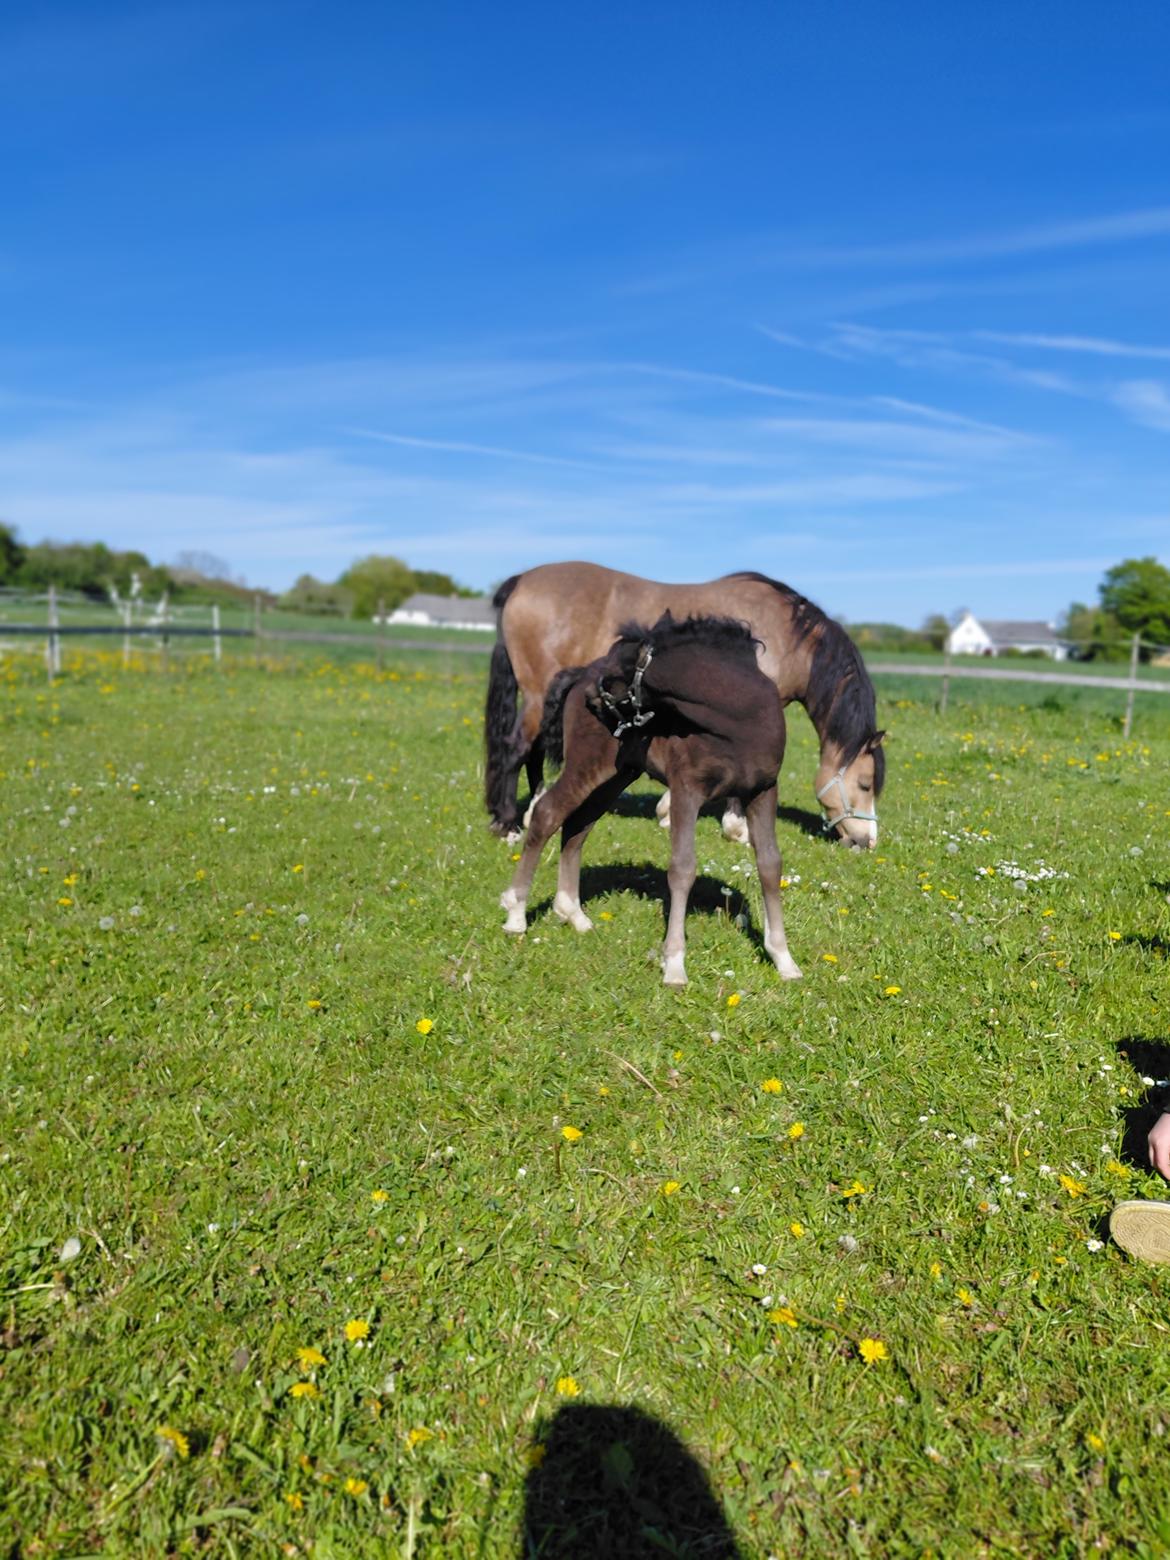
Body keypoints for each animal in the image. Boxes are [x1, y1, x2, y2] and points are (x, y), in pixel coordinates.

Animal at [484, 561, 885, 848]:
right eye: (865, 785)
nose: (867, 842)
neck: (785, 638)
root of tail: (521, 580)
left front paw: (666, 811)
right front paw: (737, 828)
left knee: (534, 751)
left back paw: (531, 807)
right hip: (536, 695)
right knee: (515, 748)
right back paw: (507, 824)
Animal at [499, 613, 802, 986]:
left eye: (613, 672)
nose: (591, 697)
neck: (741, 720)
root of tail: (576, 675)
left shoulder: (763, 790)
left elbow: (771, 864)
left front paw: (784, 959)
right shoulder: (687, 788)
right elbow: (683, 867)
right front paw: (674, 965)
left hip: (617, 775)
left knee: (576, 826)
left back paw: (572, 912)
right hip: (587, 765)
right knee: (547, 813)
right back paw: (516, 912)